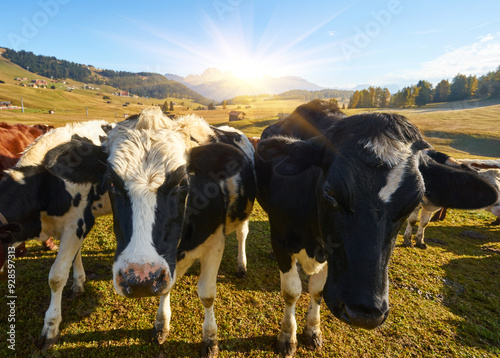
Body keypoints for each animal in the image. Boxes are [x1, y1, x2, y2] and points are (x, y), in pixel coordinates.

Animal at [39, 107, 256, 356]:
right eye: (111, 183)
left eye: (182, 182)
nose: (140, 279)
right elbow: (166, 287)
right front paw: (162, 323)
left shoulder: (215, 242)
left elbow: (207, 294)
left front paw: (210, 339)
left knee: (242, 233)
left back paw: (241, 265)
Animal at [256, 99, 498, 356]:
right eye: (330, 192)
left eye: (413, 202)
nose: (364, 314)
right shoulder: (281, 238)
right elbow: (291, 290)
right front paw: (287, 336)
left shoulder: (330, 253)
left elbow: (317, 290)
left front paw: (313, 330)